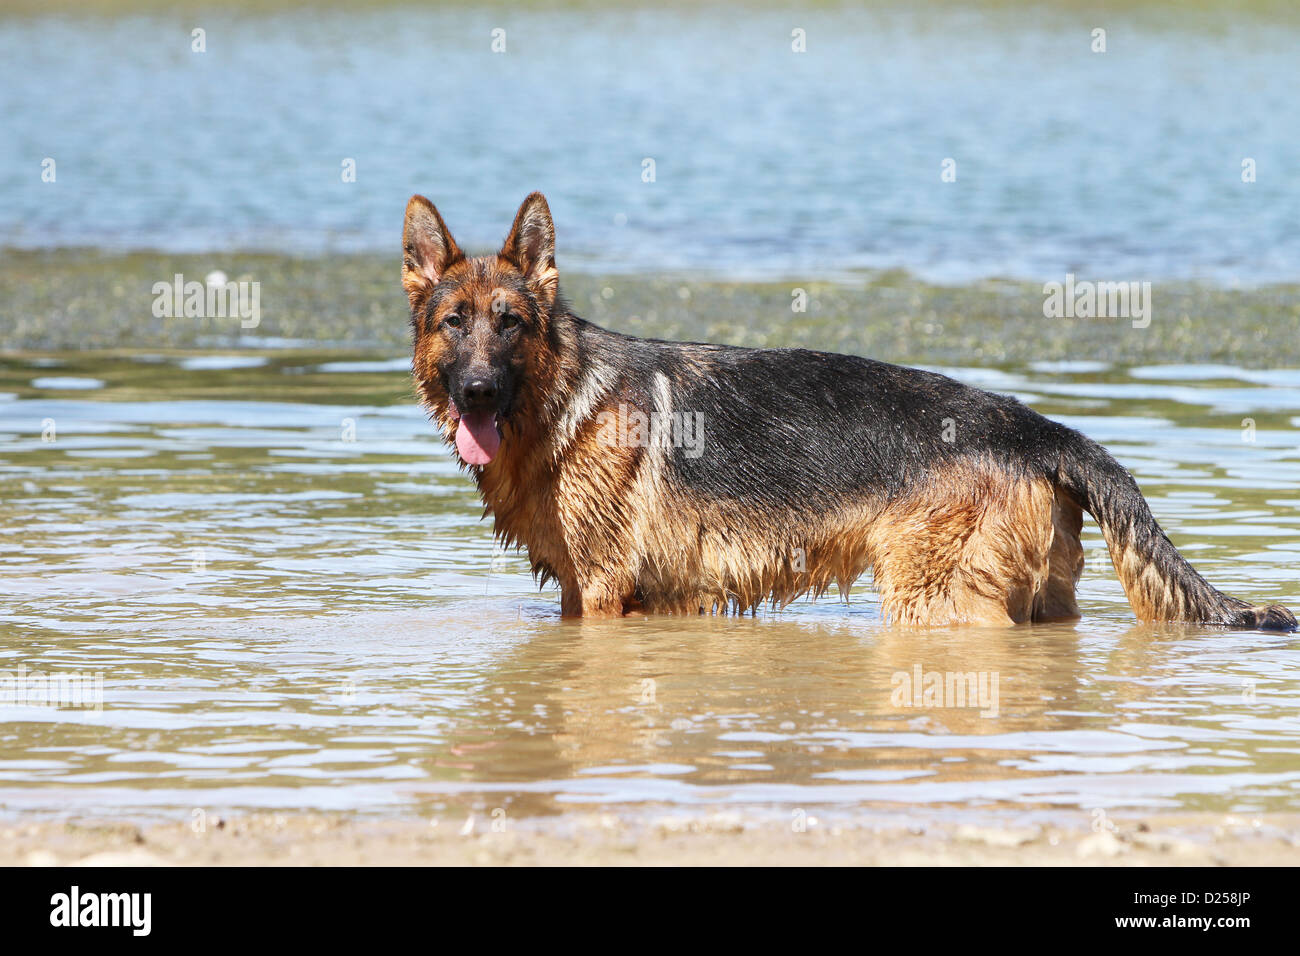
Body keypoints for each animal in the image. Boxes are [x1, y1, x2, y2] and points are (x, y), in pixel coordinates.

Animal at [400, 191, 1294, 632]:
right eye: (455, 323)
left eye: (510, 325)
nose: (477, 392)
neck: (563, 398)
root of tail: (1037, 428)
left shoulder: (604, 595)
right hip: (1041, 600)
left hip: (938, 603)